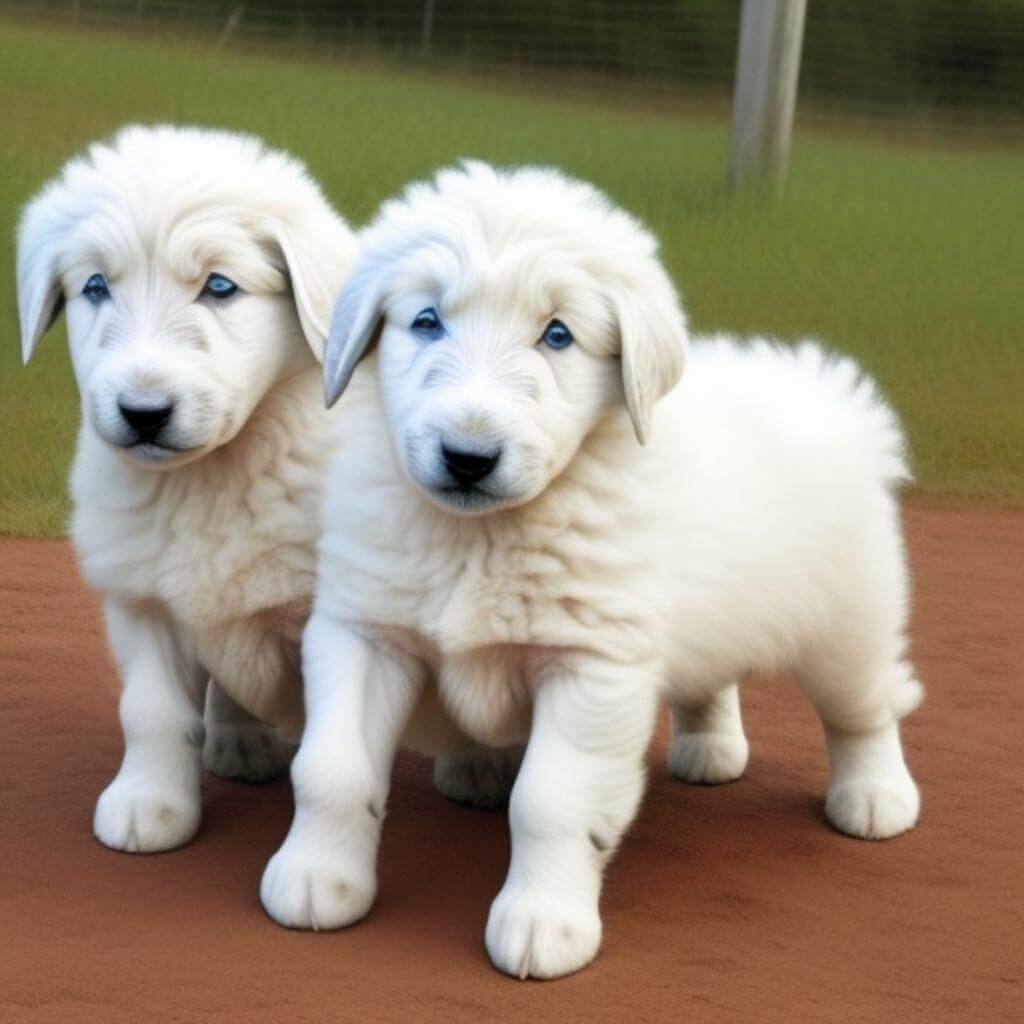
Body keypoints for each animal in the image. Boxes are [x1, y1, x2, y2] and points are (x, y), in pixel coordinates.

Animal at [14, 123, 360, 851]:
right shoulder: (143, 601)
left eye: (220, 287)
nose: (143, 413)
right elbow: (150, 714)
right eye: (94, 287)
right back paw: (240, 742)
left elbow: (334, 748)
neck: (209, 477)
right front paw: (149, 805)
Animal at [260, 159, 925, 974]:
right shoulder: (363, 633)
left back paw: (875, 797)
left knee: (866, 710)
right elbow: (330, 768)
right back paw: (710, 748)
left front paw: (544, 922)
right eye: (426, 321)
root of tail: (829, 395)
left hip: (851, 620)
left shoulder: (589, 667)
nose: (468, 457)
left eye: (558, 335)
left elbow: (551, 799)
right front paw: (318, 879)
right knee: (713, 679)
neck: (479, 538)